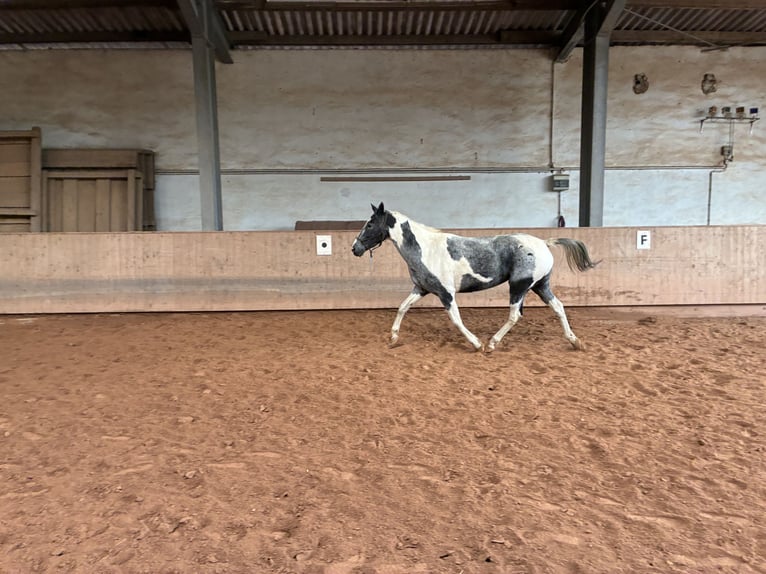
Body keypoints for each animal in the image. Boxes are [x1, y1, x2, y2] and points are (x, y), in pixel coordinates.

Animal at [351, 202, 598, 352]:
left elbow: (456, 319)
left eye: (370, 224)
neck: (425, 249)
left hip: (519, 286)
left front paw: (476, 344)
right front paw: (393, 339)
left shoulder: (446, 294)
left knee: (515, 315)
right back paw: (575, 341)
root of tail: (544, 243)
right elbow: (402, 307)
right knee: (558, 307)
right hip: (540, 286)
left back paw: (492, 344)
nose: (355, 248)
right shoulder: (421, 289)